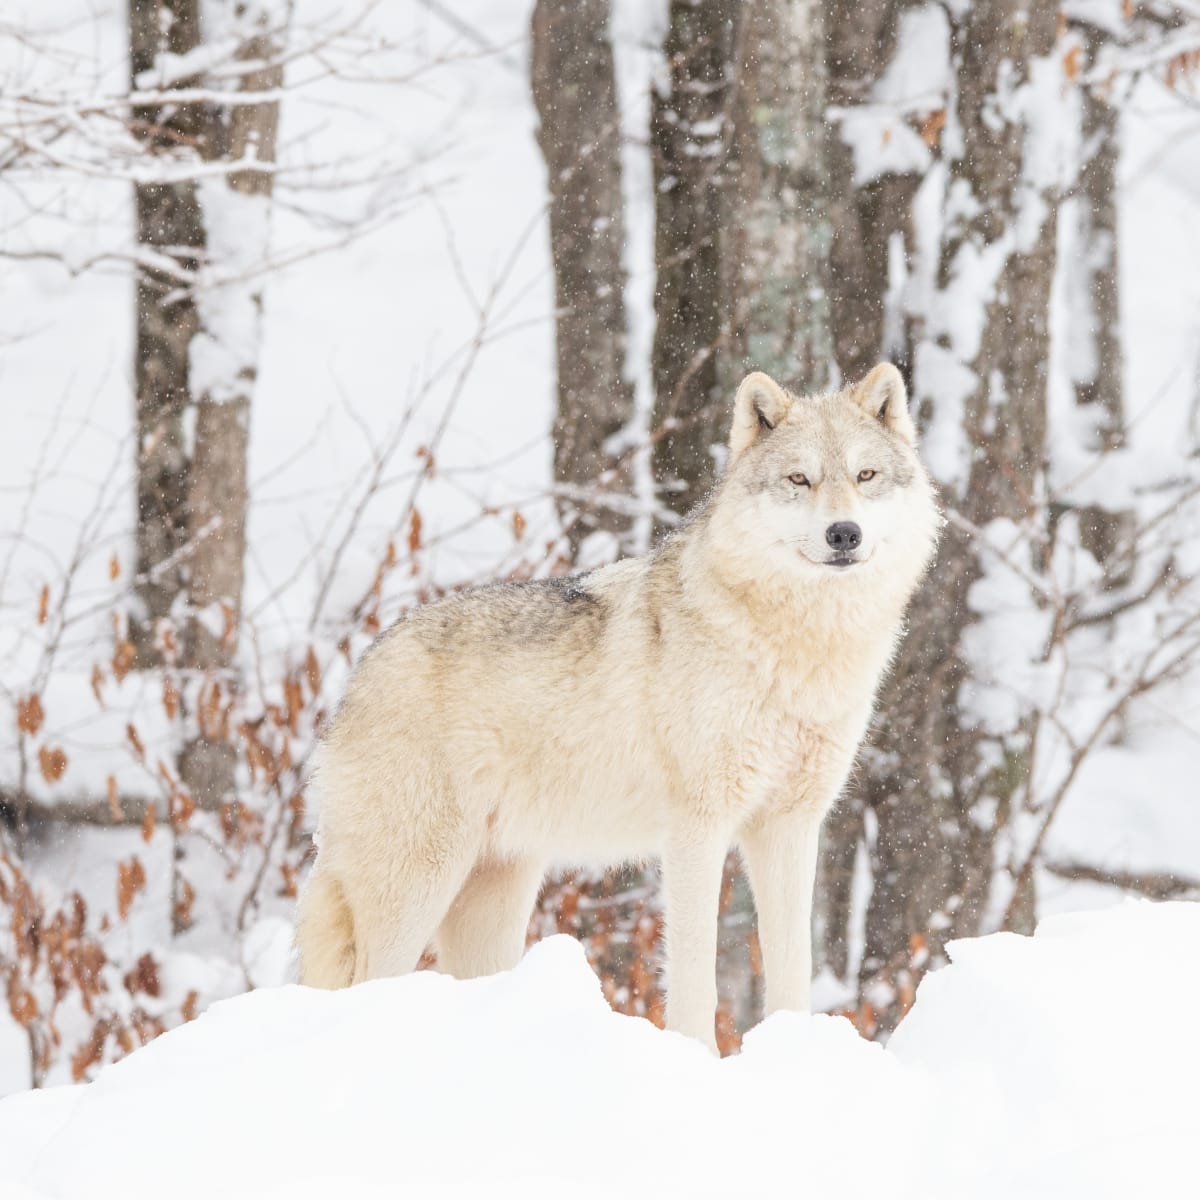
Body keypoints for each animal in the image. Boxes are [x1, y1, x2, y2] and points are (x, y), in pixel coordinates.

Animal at [296, 363, 940, 1051]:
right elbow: (696, 977)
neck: (797, 650)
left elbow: (792, 970)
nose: (844, 534)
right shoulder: (696, 828)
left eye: (865, 476)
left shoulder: (789, 827)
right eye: (800, 479)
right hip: (416, 888)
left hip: (492, 901)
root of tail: (356, 680)